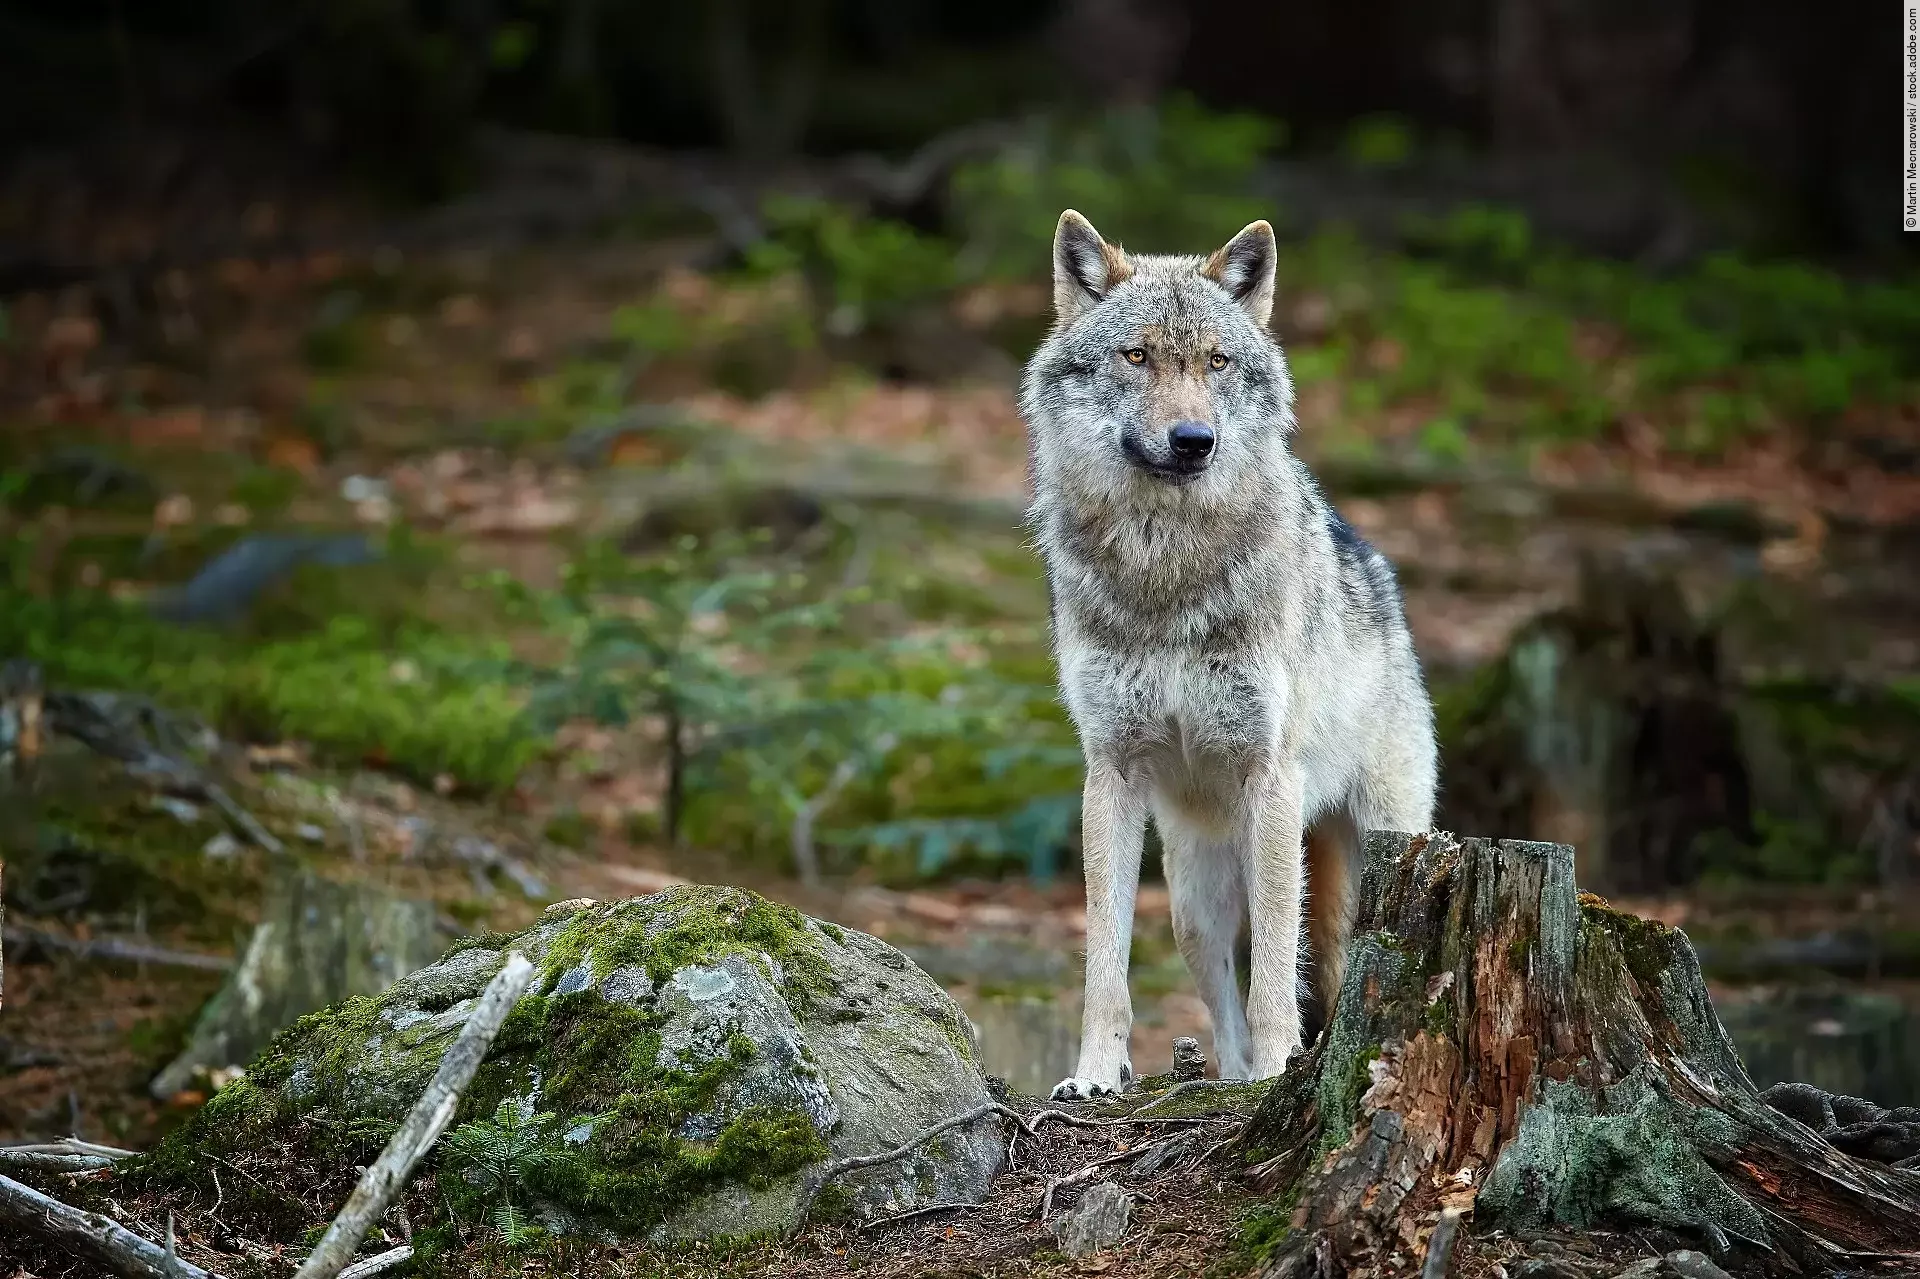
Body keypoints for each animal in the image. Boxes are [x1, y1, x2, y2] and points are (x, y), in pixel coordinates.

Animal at [1020, 210, 1437, 1098]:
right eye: (1137, 356)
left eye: (1216, 361)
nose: (1193, 440)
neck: (1165, 568)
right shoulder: (1111, 772)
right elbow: (1104, 961)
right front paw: (1095, 1073)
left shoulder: (1269, 777)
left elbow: (1278, 964)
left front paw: (1281, 1069)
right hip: (1191, 895)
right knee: (1218, 990)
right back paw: (1227, 1076)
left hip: (1377, 847)